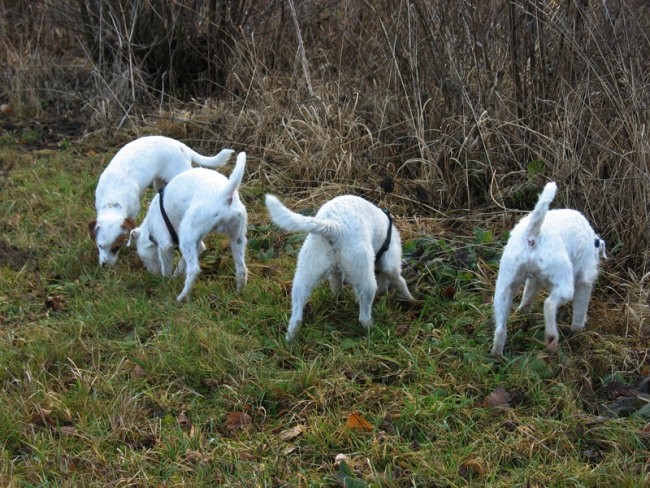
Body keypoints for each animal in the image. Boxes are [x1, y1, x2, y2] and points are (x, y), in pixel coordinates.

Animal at [88, 134, 233, 266]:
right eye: (99, 246)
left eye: (116, 247)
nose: (104, 265)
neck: (114, 195)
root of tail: (182, 146)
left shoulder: (133, 211)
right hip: (158, 182)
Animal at [128, 152, 248, 302]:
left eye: (142, 258)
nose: (152, 275)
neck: (149, 226)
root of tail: (224, 194)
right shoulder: (197, 244)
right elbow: (182, 263)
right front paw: (176, 275)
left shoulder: (165, 244)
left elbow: (166, 266)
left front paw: (166, 282)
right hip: (236, 236)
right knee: (241, 269)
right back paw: (239, 294)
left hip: (187, 233)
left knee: (194, 270)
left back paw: (181, 297)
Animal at [264, 194, 412, 344]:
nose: (383, 292)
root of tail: (335, 226)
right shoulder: (391, 264)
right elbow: (401, 282)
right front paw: (410, 300)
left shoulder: (336, 273)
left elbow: (338, 286)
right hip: (366, 278)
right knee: (364, 316)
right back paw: (372, 330)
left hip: (304, 276)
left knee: (296, 317)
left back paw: (290, 339)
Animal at [492, 182, 604, 354]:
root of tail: (533, 234)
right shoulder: (584, 282)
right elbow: (580, 309)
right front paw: (578, 331)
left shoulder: (533, 281)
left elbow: (527, 297)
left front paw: (523, 312)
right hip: (565, 285)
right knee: (549, 304)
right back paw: (552, 338)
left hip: (505, 286)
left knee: (500, 329)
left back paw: (497, 354)